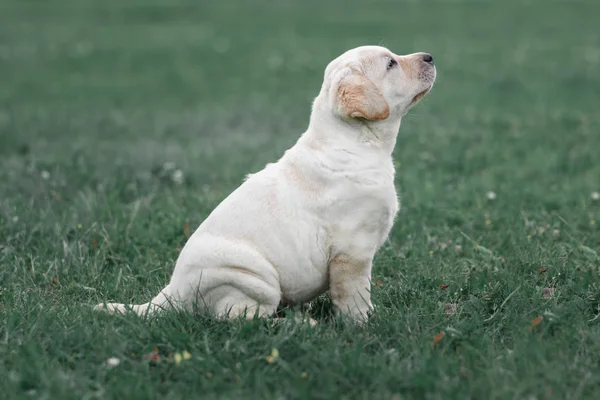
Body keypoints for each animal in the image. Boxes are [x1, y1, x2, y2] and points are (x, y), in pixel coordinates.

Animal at [95, 45, 436, 324]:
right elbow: (355, 296)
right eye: (391, 63)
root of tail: (170, 292)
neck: (354, 142)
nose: (430, 56)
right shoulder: (352, 251)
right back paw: (299, 325)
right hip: (250, 280)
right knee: (243, 318)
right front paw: (362, 327)